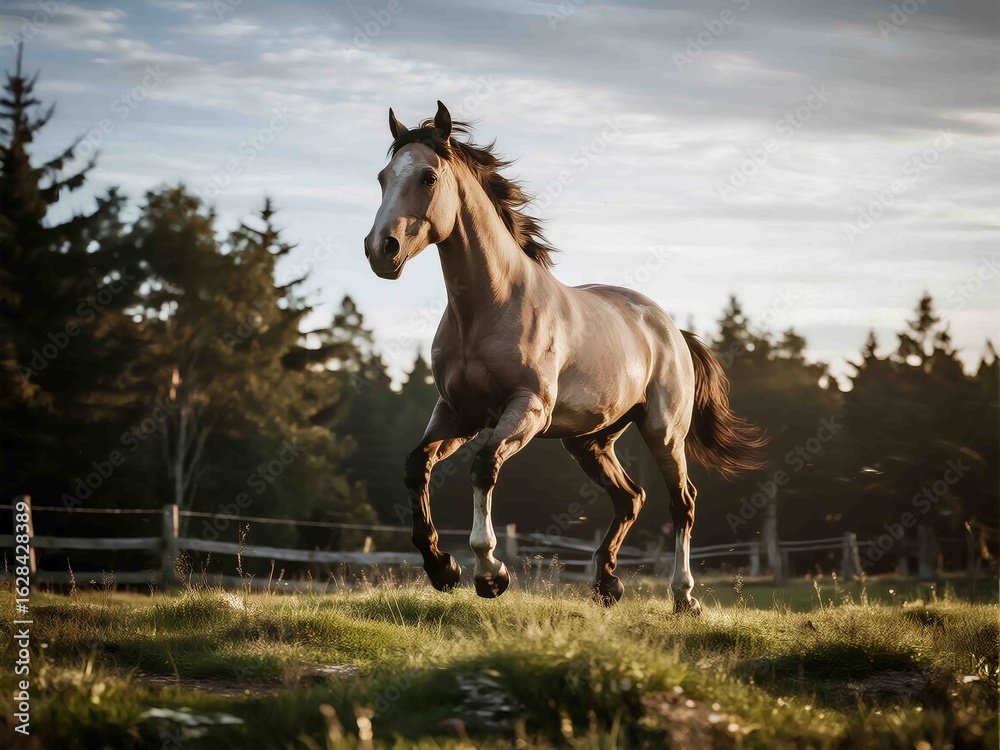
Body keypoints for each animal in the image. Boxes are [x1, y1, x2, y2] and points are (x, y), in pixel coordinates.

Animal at [364, 101, 767, 613]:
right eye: (383, 177)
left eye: (428, 176)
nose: (381, 249)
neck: (489, 306)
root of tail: (672, 331)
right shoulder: (459, 412)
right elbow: (417, 466)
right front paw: (442, 568)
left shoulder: (528, 409)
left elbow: (483, 468)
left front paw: (490, 574)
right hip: (590, 441)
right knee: (631, 497)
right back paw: (607, 584)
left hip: (663, 433)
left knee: (683, 503)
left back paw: (683, 596)